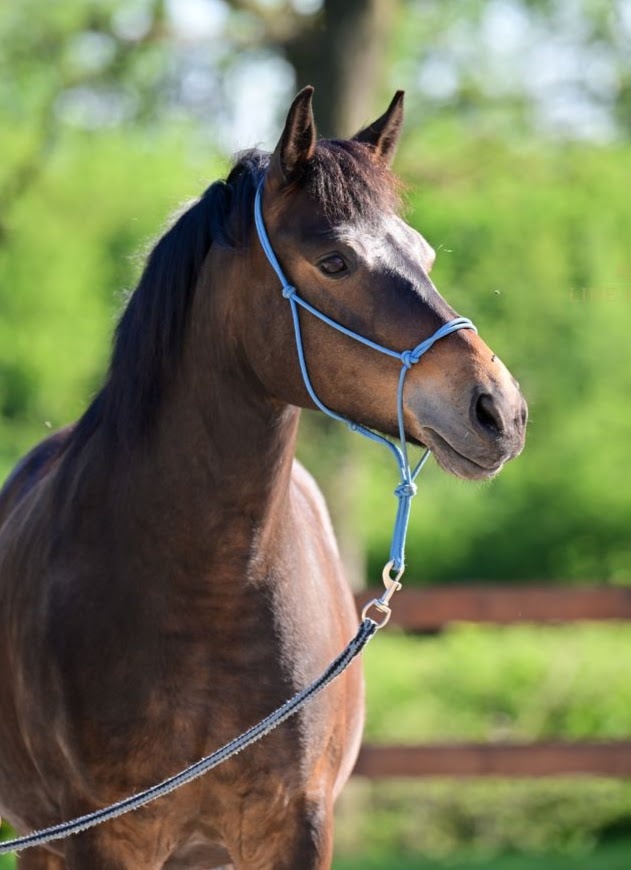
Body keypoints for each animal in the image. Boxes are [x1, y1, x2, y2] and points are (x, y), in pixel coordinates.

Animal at [0, 87, 527, 869]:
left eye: (424, 254)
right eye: (334, 261)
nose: (500, 410)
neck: (207, 594)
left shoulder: (297, 826)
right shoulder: (99, 836)